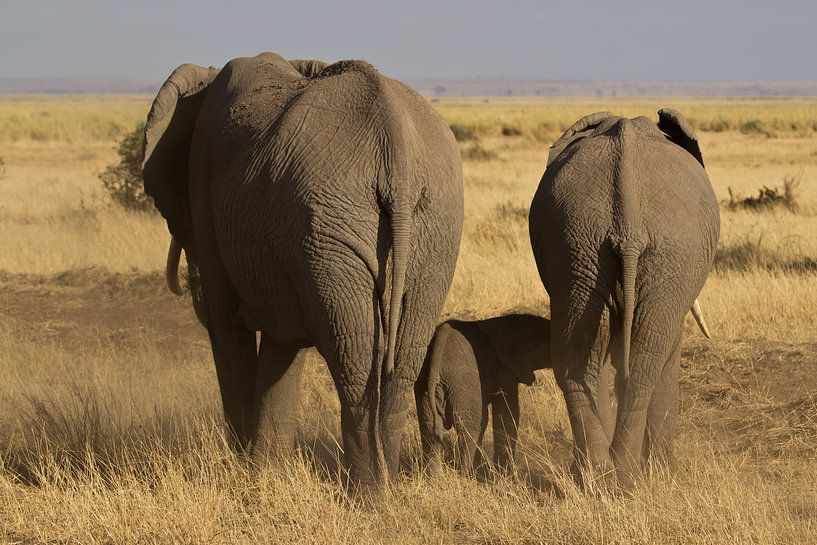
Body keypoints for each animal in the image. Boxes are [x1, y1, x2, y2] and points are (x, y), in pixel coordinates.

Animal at [139, 53, 460, 490]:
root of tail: (398, 150)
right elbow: (282, 348)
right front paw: (264, 476)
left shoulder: (204, 190)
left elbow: (228, 334)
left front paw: (246, 475)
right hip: (429, 230)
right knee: (402, 361)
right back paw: (388, 490)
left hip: (334, 225)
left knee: (354, 362)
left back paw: (368, 496)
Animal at [414, 312, 548, 474]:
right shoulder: (506, 370)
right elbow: (508, 413)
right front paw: (506, 474)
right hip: (464, 382)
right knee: (474, 425)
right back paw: (472, 475)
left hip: (424, 383)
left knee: (429, 426)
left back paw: (435, 477)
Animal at [524, 109, 716, 484]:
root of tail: (628, 229)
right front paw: (666, 474)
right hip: (666, 257)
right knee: (645, 365)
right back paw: (628, 478)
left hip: (577, 244)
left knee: (577, 358)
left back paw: (596, 476)